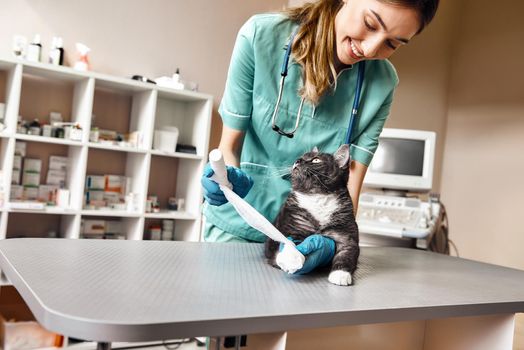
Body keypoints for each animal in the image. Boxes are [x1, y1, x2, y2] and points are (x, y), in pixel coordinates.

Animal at [264, 144, 358, 286]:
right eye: (301, 157)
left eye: (316, 160)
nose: (298, 161)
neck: (317, 196)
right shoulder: (293, 228)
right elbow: (291, 243)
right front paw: (291, 258)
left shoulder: (346, 235)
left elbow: (346, 253)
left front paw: (340, 274)